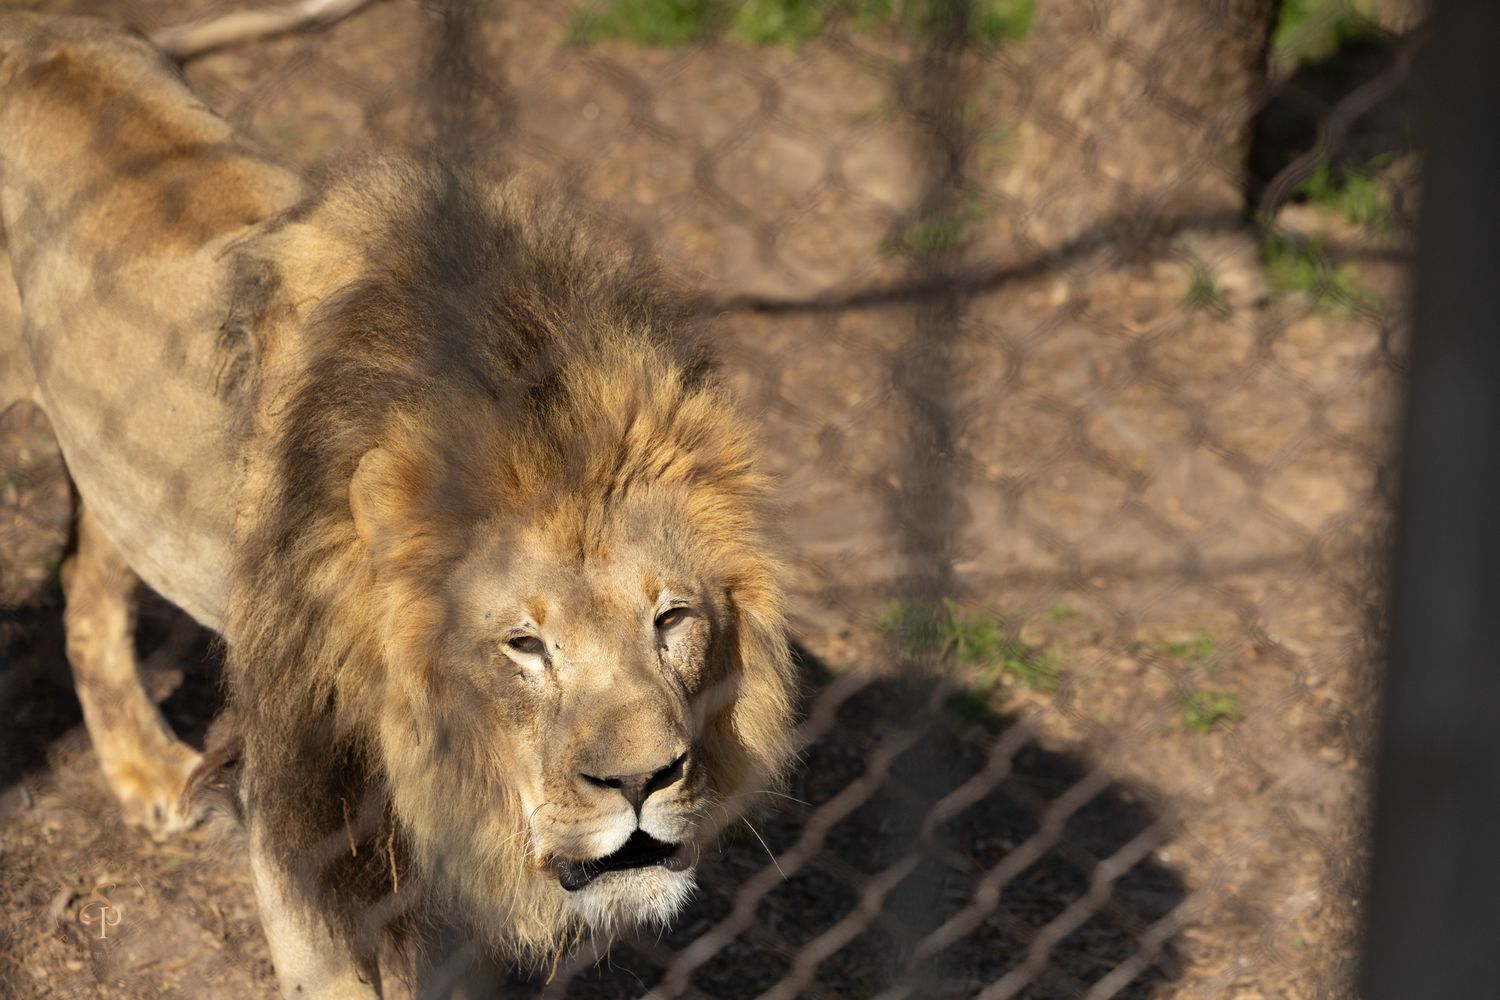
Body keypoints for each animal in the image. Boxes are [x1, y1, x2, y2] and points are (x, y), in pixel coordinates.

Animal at [0, 12, 797, 997]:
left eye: (673, 619)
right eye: (524, 646)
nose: (642, 780)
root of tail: (49, 22)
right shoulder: (294, 816)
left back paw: (141, 767)